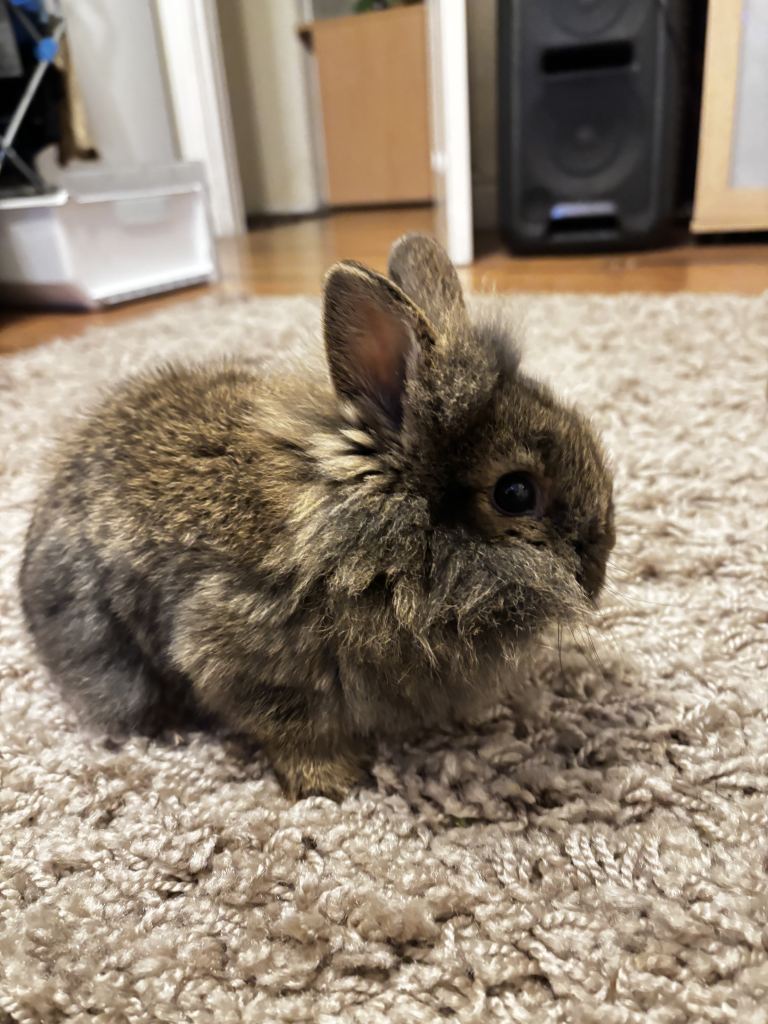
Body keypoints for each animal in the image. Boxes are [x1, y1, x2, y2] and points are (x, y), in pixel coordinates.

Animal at [19, 234, 615, 800]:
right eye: (515, 493)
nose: (598, 568)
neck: (378, 541)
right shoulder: (244, 658)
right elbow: (292, 730)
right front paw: (332, 781)